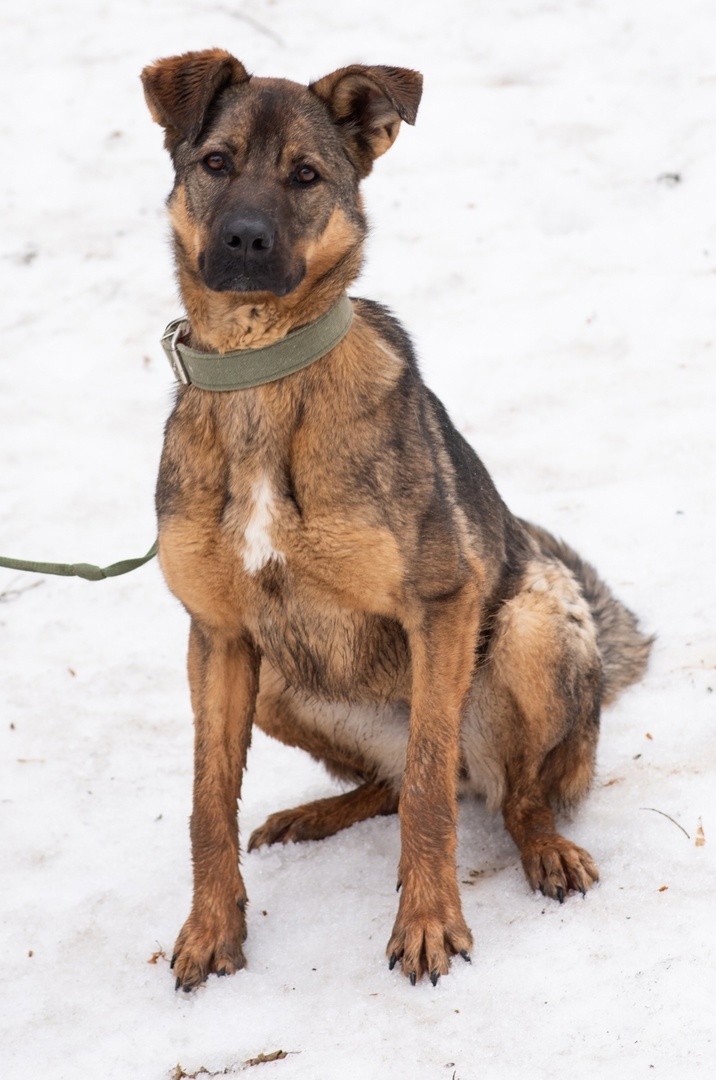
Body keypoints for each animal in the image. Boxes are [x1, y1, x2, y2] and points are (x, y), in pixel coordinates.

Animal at [141, 54, 656, 989]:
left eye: (306, 176)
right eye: (216, 163)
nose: (244, 242)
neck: (261, 370)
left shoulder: (442, 605)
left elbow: (426, 790)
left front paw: (427, 924)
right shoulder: (219, 638)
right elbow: (206, 804)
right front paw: (211, 929)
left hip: (532, 624)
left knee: (503, 792)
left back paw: (546, 850)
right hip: (278, 681)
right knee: (389, 781)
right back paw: (315, 814)